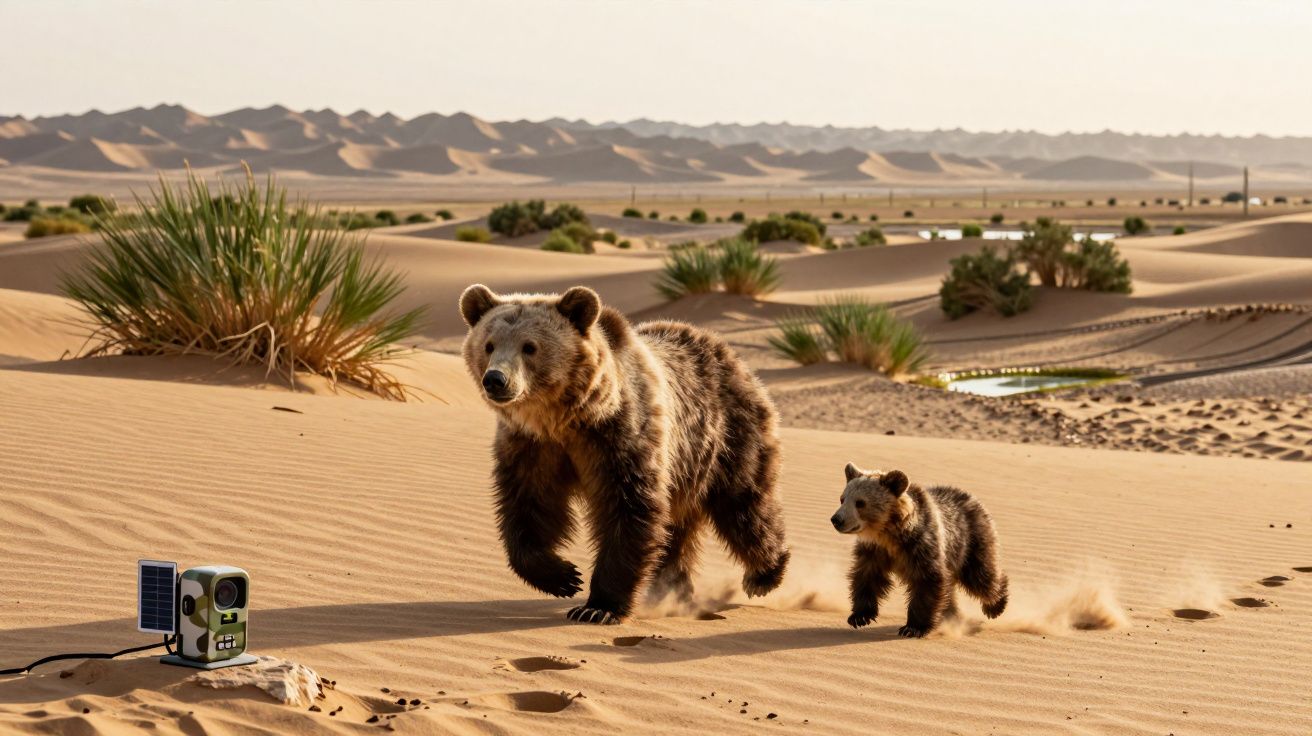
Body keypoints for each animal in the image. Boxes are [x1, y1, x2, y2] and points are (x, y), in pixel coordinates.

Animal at [459, 283, 790, 624]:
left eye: (529, 347)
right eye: (488, 345)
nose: (496, 379)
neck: (565, 420)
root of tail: (727, 353)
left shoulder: (620, 439)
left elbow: (629, 512)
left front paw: (597, 607)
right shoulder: (533, 448)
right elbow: (528, 507)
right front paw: (563, 576)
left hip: (726, 439)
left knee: (745, 506)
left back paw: (764, 574)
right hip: (686, 474)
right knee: (677, 533)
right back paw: (673, 588)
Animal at [830, 463, 1008, 637]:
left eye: (860, 502)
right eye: (842, 499)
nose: (836, 519)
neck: (889, 534)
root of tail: (973, 498)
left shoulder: (922, 545)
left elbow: (927, 581)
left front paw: (912, 627)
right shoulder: (874, 550)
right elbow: (867, 576)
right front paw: (859, 616)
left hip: (969, 542)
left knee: (980, 576)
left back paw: (995, 606)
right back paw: (952, 616)